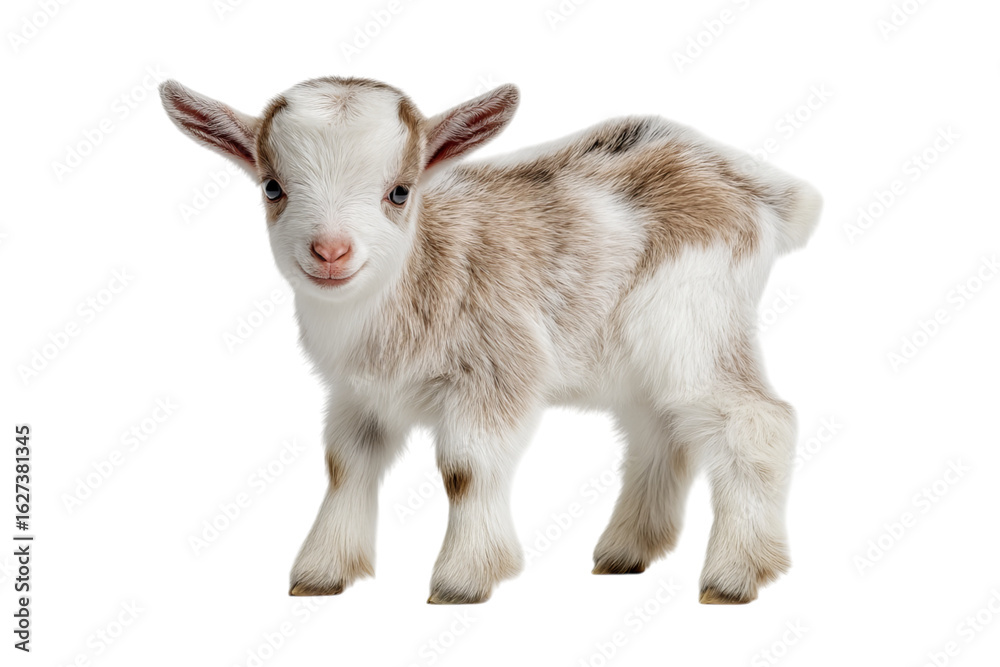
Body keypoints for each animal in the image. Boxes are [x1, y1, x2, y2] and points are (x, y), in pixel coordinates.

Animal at [160, 76, 821, 604]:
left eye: (400, 191)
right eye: (272, 187)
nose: (331, 251)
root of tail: (761, 191)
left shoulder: (498, 365)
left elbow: (465, 469)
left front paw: (463, 579)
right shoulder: (358, 394)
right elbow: (345, 467)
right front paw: (322, 573)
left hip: (693, 322)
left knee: (758, 421)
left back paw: (734, 576)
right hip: (638, 358)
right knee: (658, 432)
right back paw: (625, 552)